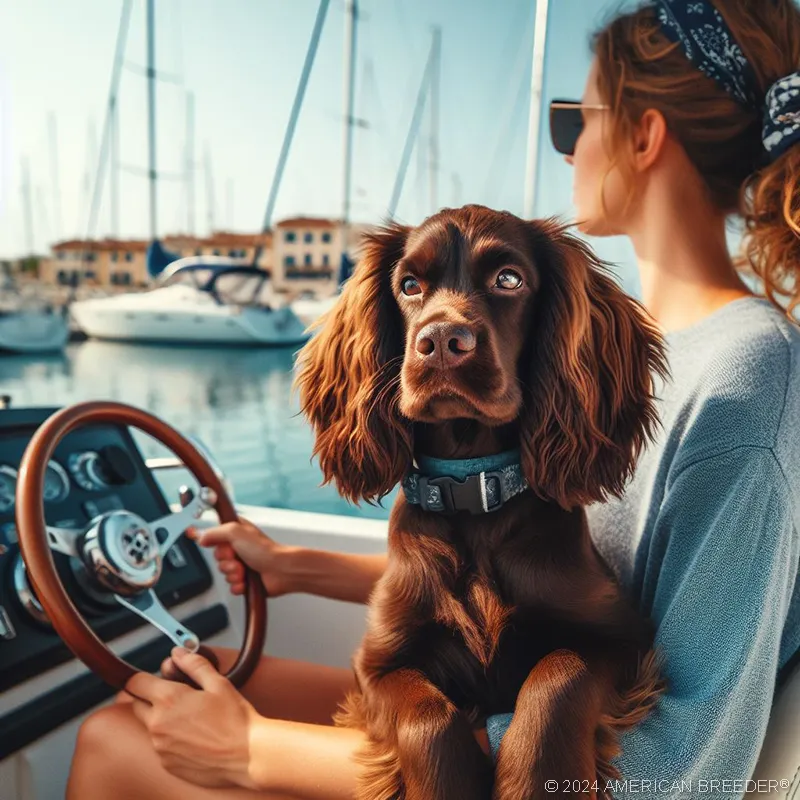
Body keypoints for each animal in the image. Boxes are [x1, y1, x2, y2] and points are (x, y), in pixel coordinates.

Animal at [294, 206, 668, 800]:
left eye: (508, 279)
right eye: (409, 285)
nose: (443, 339)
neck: (474, 493)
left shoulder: (624, 638)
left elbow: (558, 679)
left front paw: (537, 779)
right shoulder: (377, 665)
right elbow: (426, 715)